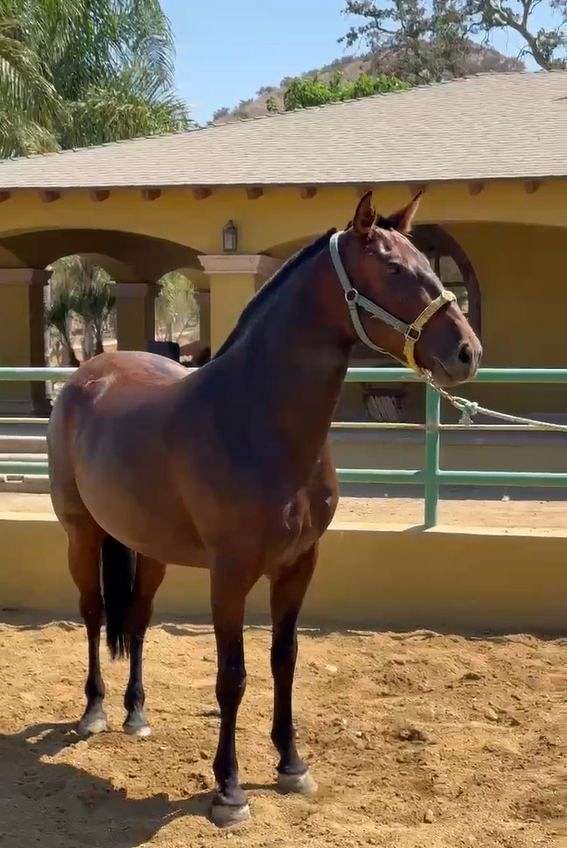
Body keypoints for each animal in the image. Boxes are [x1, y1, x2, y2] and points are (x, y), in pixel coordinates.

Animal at [47, 191, 481, 827]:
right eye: (393, 268)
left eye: (430, 263)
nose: (466, 352)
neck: (258, 419)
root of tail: (88, 373)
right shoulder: (230, 575)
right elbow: (232, 677)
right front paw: (228, 791)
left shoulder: (298, 564)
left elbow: (284, 659)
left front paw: (292, 765)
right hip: (80, 534)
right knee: (93, 613)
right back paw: (96, 711)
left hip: (150, 548)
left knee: (139, 619)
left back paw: (136, 714)